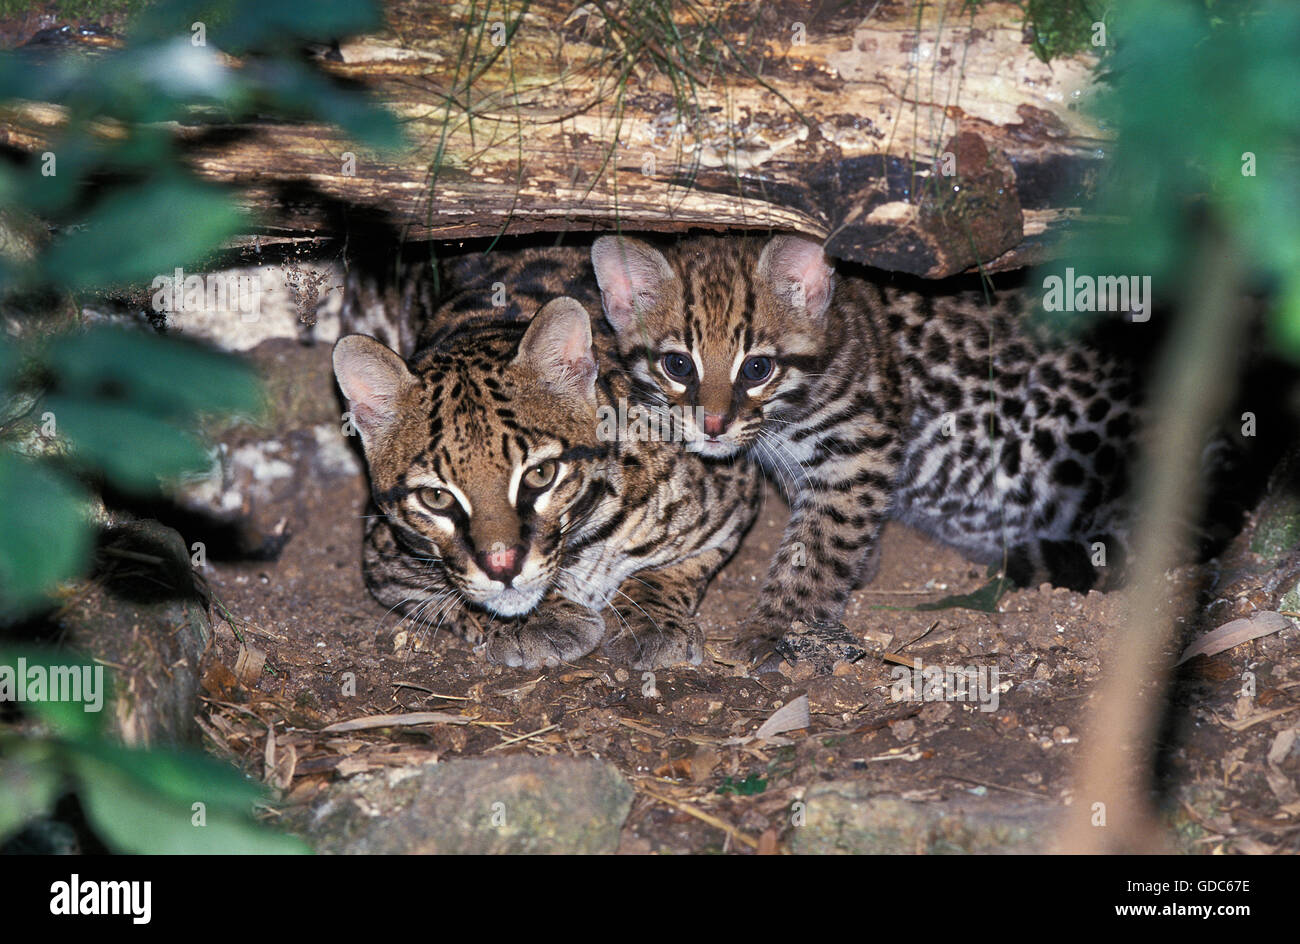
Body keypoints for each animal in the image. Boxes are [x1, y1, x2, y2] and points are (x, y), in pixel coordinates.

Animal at [335, 248, 759, 670]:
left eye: (541, 474)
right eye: (435, 498)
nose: (503, 567)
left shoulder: (732, 494)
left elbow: (676, 568)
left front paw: (652, 618)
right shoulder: (383, 556)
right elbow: (453, 592)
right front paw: (541, 619)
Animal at [595, 235, 1144, 657]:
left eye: (757, 369)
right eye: (677, 365)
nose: (711, 424)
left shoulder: (858, 454)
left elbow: (819, 544)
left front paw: (781, 625)